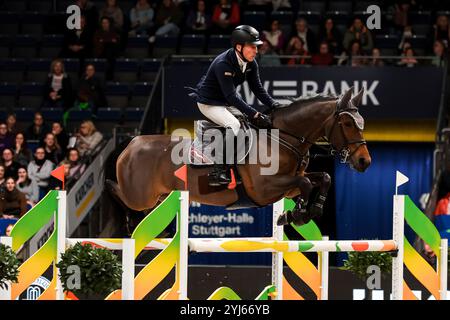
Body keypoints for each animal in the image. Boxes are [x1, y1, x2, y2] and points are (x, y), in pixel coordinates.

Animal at [104, 87, 370, 230]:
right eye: (347, 123)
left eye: (362, 123)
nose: (364, 162)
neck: (281, 139)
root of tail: (131, 144)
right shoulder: (264, 188)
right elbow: (305, 183)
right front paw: (297, 215)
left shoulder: (290, 184)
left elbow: (322, 177)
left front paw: (309, 210)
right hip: (141, 196)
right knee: (118, 192)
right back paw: (125, 220)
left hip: (157, 196)